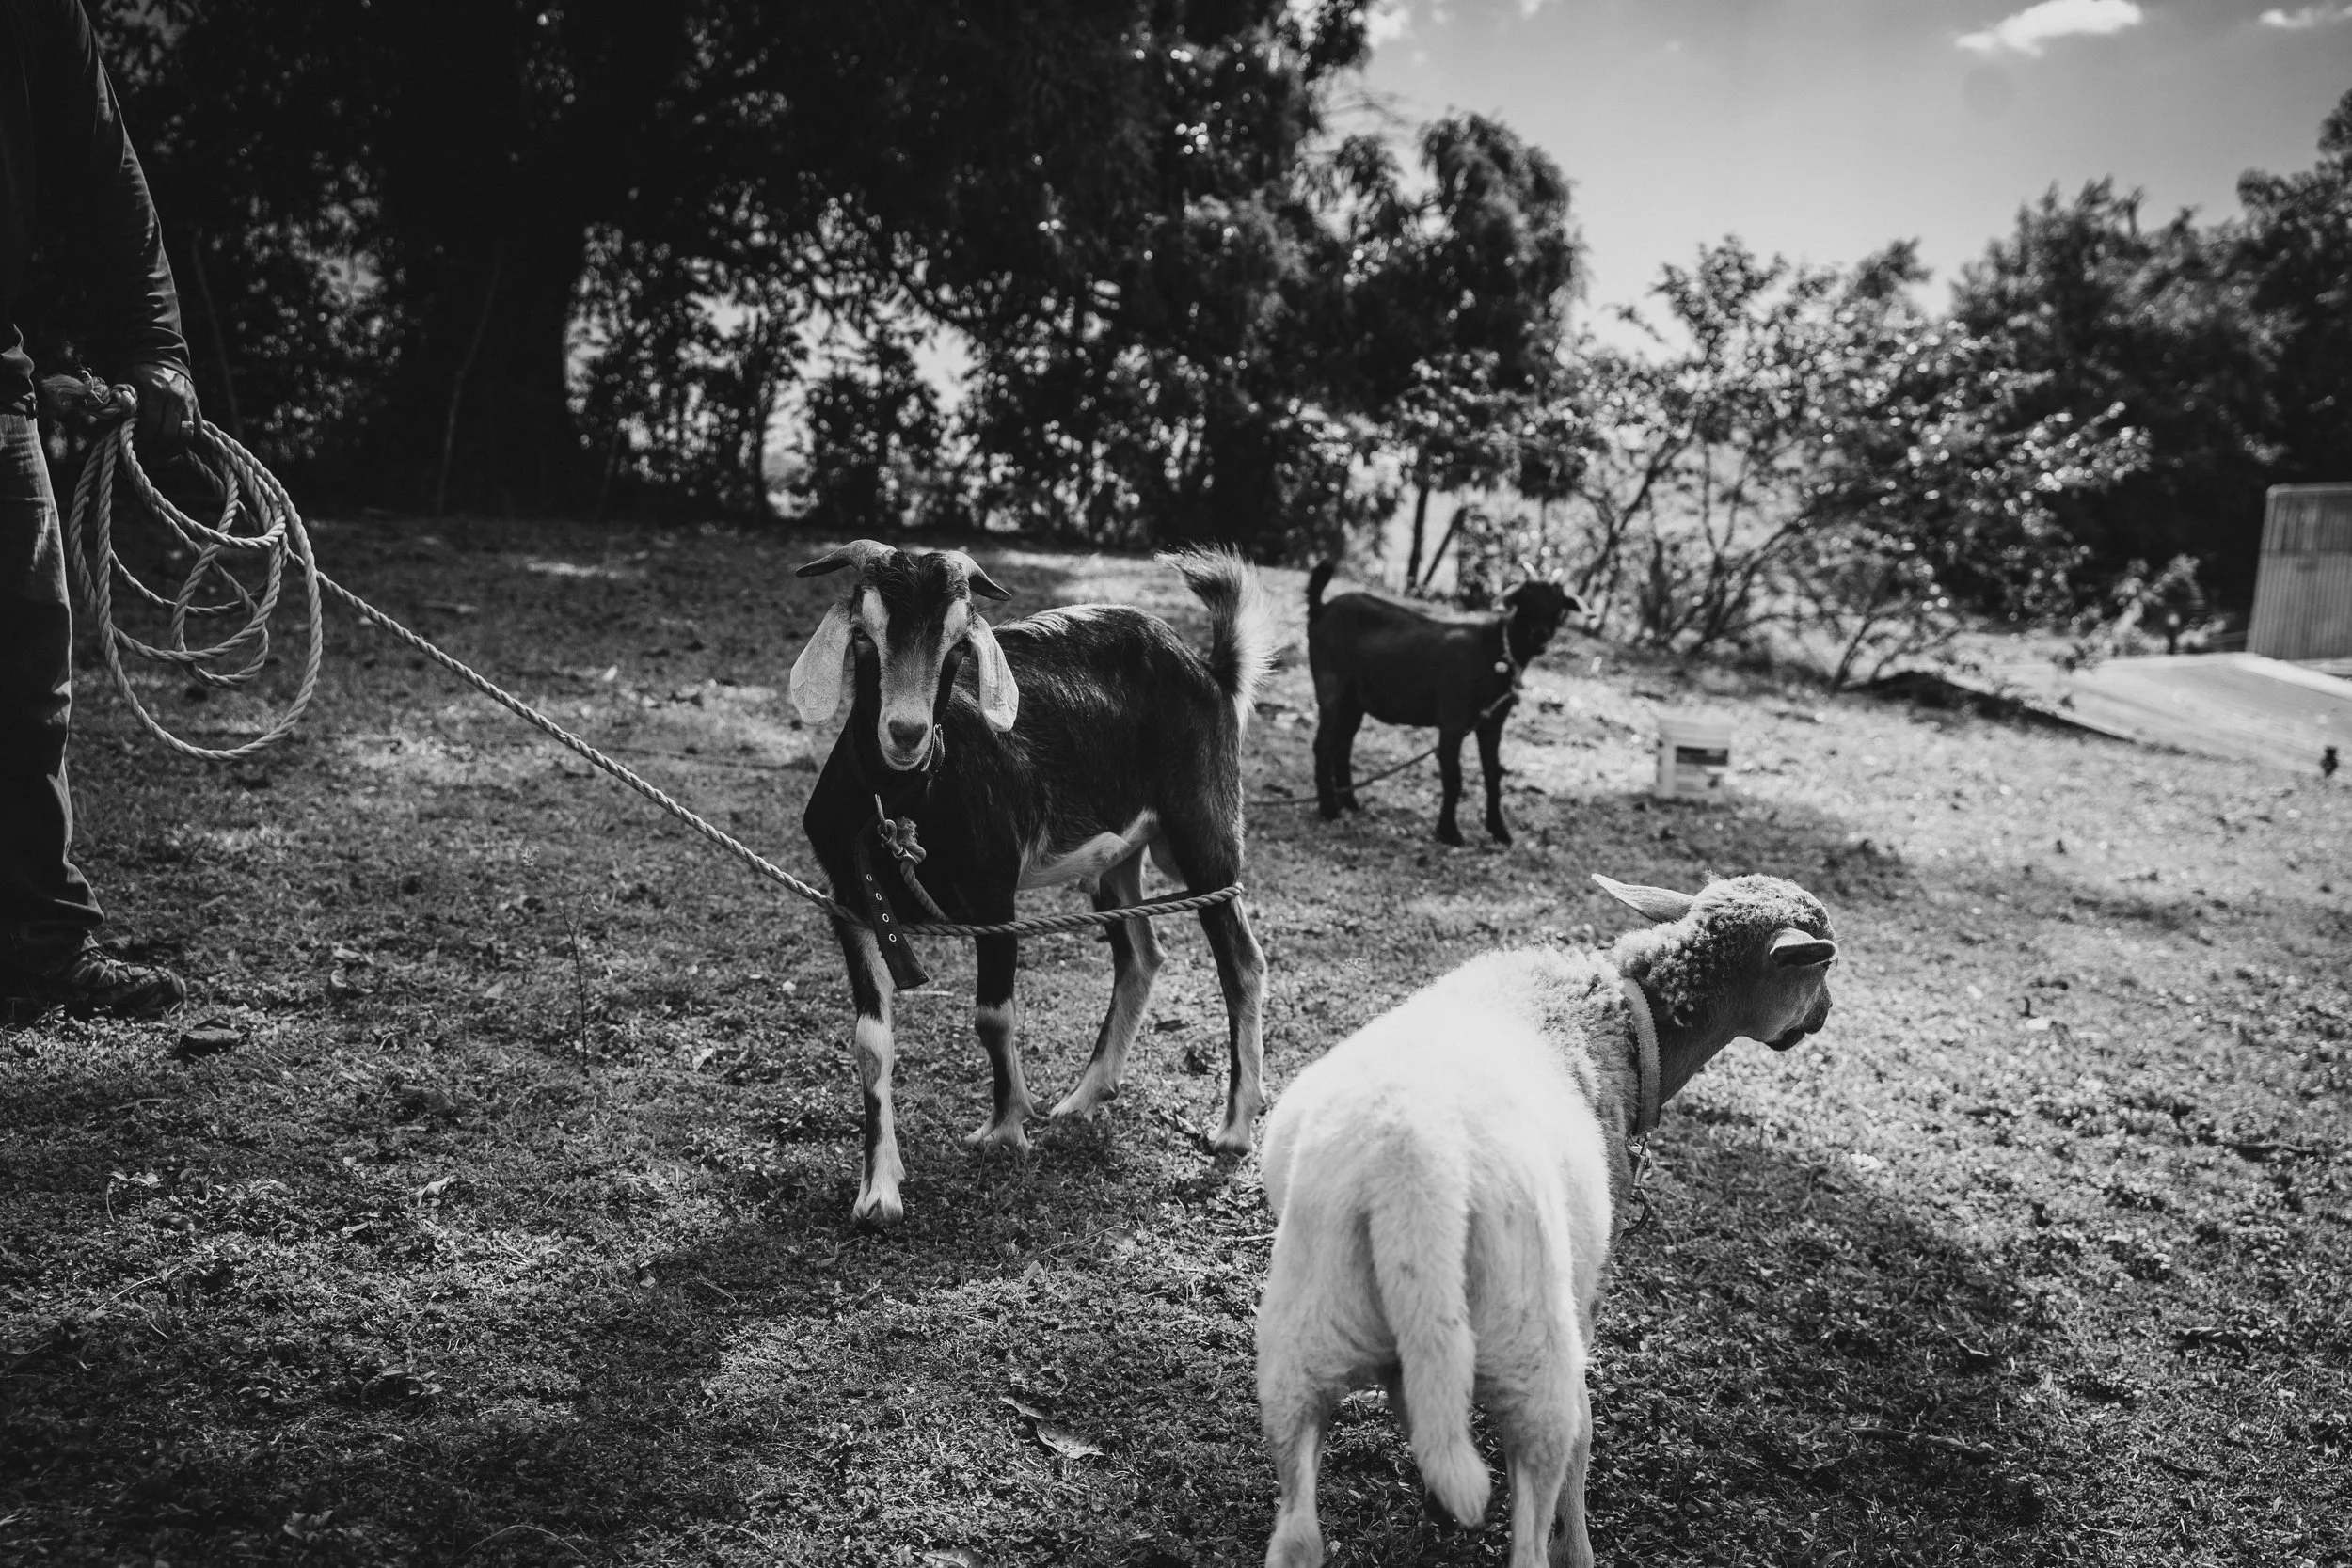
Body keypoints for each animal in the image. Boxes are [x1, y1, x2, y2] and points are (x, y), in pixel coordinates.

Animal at [790, 540, 1281, 1228]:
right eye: (865, 636)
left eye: (957, 646)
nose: (906, 732)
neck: (904, 805)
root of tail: (1210, 670)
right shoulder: (851, 904)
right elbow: (869, 1040)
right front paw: (879, 1189)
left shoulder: (995, 893)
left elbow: (992, 1015)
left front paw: (1005, 1127)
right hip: (1119, 856)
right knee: (1141, 955)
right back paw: (1081, 1098)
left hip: (1204, 829)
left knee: (1240, 959)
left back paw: (1233, 1129)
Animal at [1255, 873, 1838, 1568]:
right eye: (1818, 967)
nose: (1824, 1012)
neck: (1631, 1021)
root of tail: (1412, 1174)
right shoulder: (1586, 1291)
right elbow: (1585, 1433)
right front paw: (1576, 1545)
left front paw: (1434, 1506)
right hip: (1533, 1344)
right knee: (1540, 1509)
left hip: (1304, 1336)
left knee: (1297, 1529)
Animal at [1305, 561, 1585, 846]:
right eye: (1525, 600)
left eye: (1559, 606)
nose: (1540, 636)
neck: (1493, 654)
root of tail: (1321, 609)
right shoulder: (1453, 720)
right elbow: (1454, 778)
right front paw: (1449, 831)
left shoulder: (1492, 724)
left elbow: (1493, 775)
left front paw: (1499, 830)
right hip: (1332, 688)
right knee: (1324, 745)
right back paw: (1329, 809)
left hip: (1354, 702)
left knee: (1342, 746)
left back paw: (1349, 802)